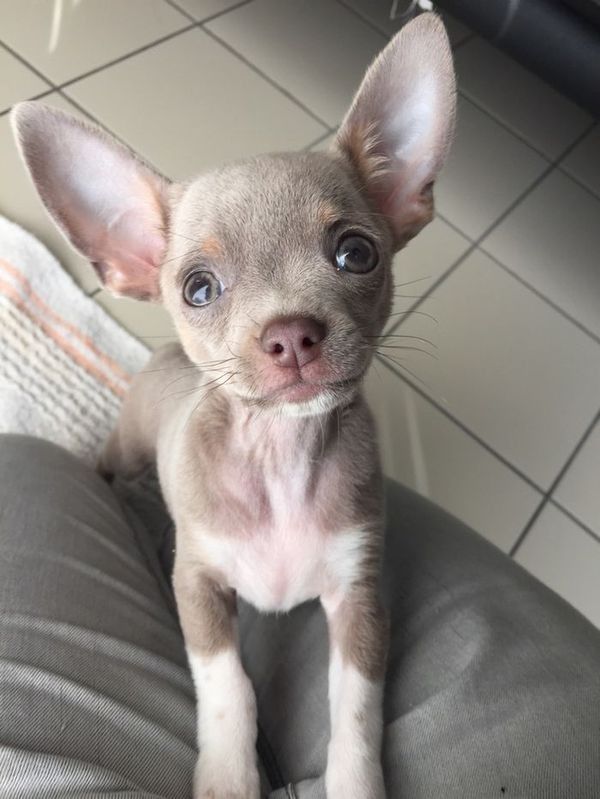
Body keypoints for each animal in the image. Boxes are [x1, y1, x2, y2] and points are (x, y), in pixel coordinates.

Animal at [11, 14, 454, 799]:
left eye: (356, 254)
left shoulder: (360, 601)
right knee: (110, 463)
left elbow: (356, 710)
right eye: (198, 288)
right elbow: (228, 684)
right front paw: (227, 772)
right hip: (128, 444)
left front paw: (354, 781)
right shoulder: (196, 585)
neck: (280, 455)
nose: (292, 334)